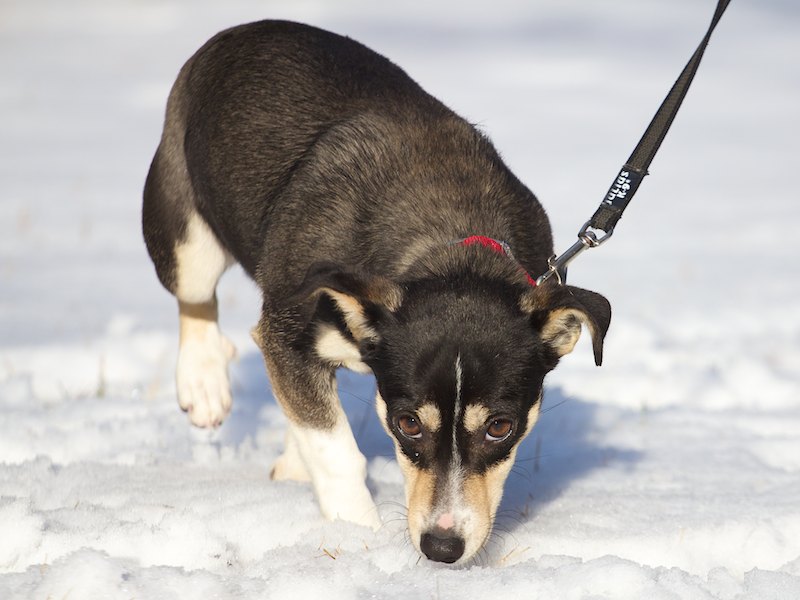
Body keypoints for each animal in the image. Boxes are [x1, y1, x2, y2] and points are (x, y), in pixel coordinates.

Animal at [142, 20, 611, 565]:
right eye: (407, 423)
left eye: (500, 426)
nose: (442, 547)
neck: (451, 244)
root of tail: (243, 30)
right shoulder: (286, 332)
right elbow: (336, 451)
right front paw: (357, 535)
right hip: (182, 225)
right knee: (195, 295)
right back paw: (203, 383)